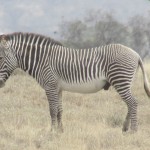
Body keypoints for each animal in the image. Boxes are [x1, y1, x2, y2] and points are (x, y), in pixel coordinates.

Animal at [0, 31, 149, 132]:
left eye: (0, 58)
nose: (0, 84)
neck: (42, 60)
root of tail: (136, 54)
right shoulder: (58, 88)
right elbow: (59, 110)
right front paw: (60, 131)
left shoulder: (50, 86)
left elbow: (52, 110)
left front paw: (51, 131)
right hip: (126, 82)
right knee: (130, 104)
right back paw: (124, 128)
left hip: (120, 80)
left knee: (133, 103)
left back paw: (133, 131)